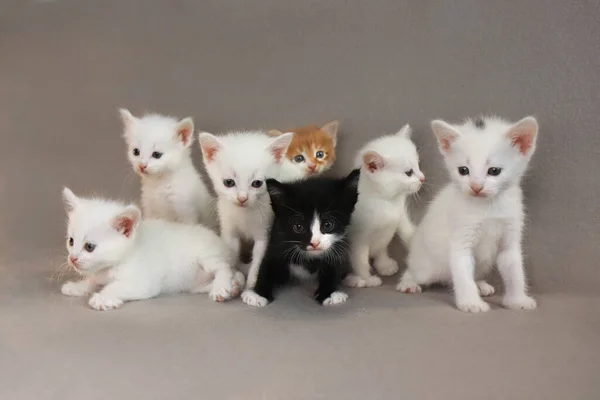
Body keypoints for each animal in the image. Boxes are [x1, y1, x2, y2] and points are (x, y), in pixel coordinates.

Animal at [58, 188, 241, 310]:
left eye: (89, 247)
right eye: (71, 241)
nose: (72, 258)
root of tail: (223, 245)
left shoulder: (144, 283)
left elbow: (116, 286)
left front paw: (103, 297)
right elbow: (92, 281)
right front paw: (78, 287)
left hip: (207, 256)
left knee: (224, 267)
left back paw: (221, 287)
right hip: (193, 285)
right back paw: (232, 287)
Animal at [198, 131, 294, 290]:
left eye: (257, 183)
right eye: (228, 182)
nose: (242, 198)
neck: (244, 214)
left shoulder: (264, 232)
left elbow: (258, 259)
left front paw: (251, 284)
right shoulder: (229, 230)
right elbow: (231, 253)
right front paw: (233, 277)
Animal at [240, 169, 360, 306]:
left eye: (328, 224)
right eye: (298, 226)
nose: (315, 243)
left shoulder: (337, 246)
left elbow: (334, 266)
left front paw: (329, 293)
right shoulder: (277, 239)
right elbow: (267, 264)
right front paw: (257, 294)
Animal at [344, 125, 424, 288]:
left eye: (418, 165)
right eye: (409, 172)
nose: (423, 178)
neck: (385, 202)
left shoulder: (395, 221)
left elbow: (382, 248)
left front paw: (384, 265)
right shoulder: (358, 240)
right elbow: (360, 260)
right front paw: (368, 279)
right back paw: (355, 280)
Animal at [396, 115, 540, 312]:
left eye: (494, 171)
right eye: (463, 170)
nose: (476, 187)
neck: (488, 208)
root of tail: (416, 238)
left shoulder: (510, 238)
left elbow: (515, 272)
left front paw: (518, 300)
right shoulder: (461, 239)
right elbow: (463, 275)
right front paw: (471, 303)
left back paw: (481, 284)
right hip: (428, 268)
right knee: (414, 271)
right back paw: (408, 283)